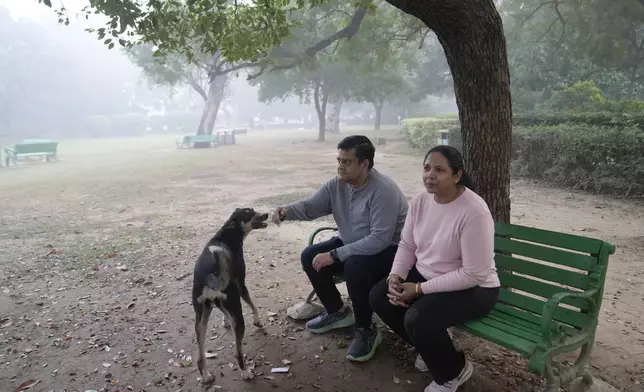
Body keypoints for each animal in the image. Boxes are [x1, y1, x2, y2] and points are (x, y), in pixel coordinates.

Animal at [192, 208, 270, 382]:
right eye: (250, 212)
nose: (267, 214)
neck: (227, 235)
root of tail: (210, 278)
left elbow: (226, 314)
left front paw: (225, 321)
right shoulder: (241, 285)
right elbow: (253, 304)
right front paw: (257, 321)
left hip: (200, 320)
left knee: (200, 357)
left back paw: (206, 376)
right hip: (238, 316)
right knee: (238, 353)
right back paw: (245, 372)